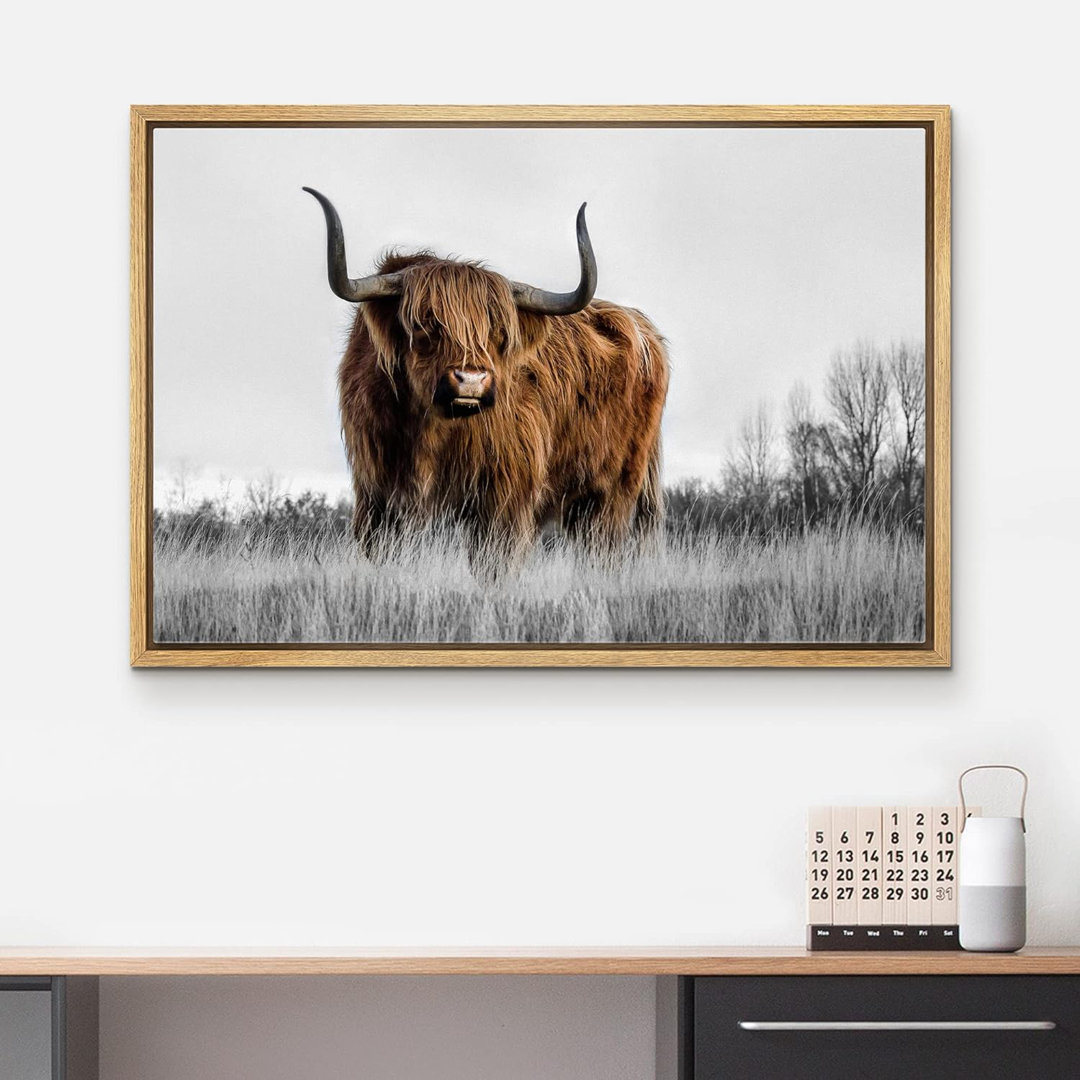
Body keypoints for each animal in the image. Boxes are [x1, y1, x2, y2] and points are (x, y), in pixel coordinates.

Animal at [304, 188, 670, 567]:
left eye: (498, 332)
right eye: (424, 324)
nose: (471, 379)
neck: (430, 431)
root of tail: (642, 326)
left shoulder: (504, 497)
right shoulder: (377, 497)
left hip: (613, 491)